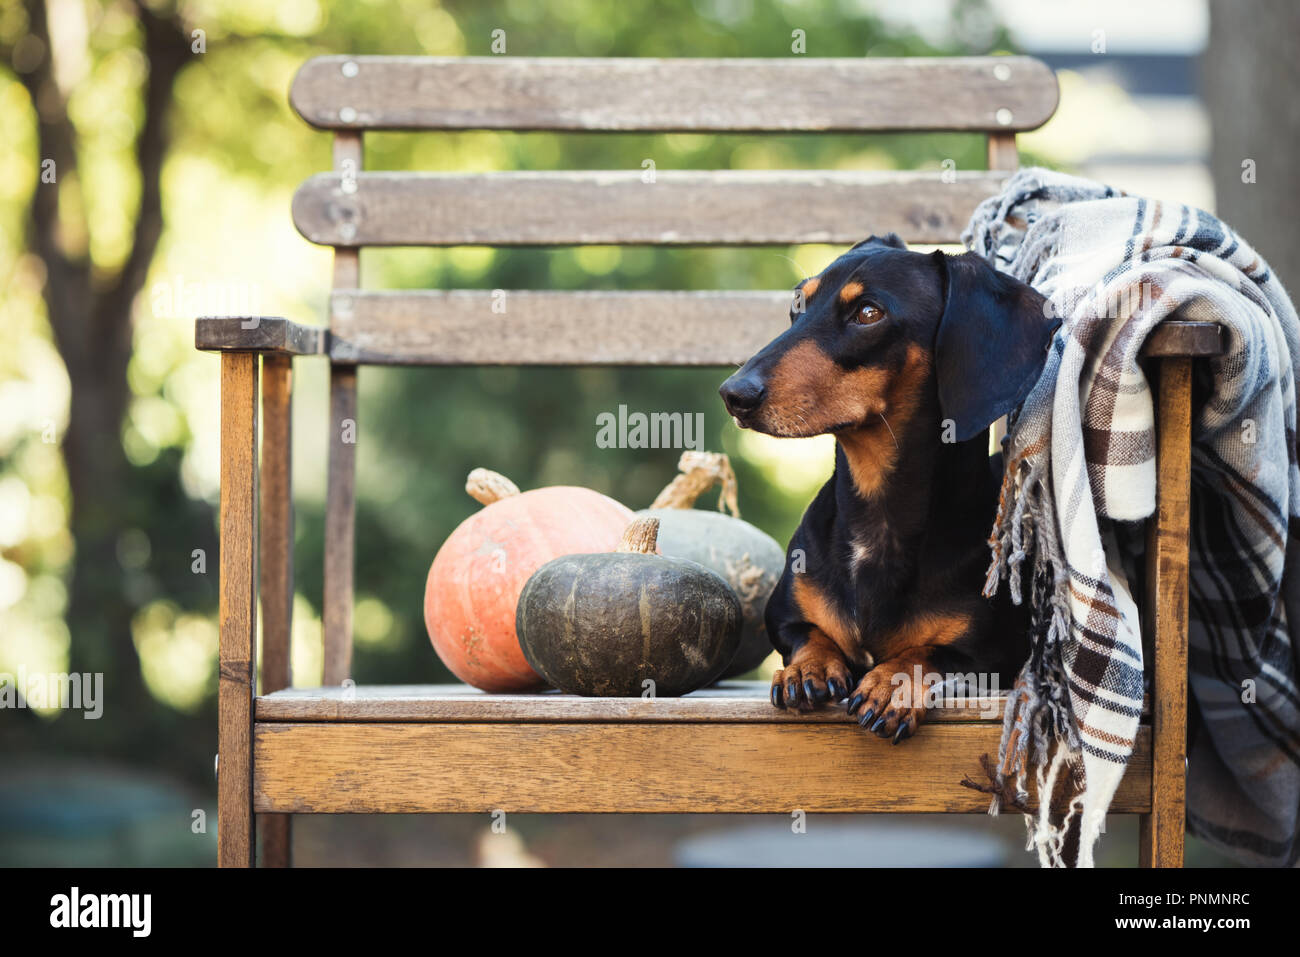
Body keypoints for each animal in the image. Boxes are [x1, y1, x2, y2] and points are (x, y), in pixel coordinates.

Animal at [717, 235, 1060, 743]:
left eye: (868, 313)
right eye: (798, 304)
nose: (734, 395)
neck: (877, 514)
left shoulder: (994, 657)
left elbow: (928, 652)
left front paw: (891, 683)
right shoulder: (782, 618)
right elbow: (810, 633)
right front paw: (808, 668)